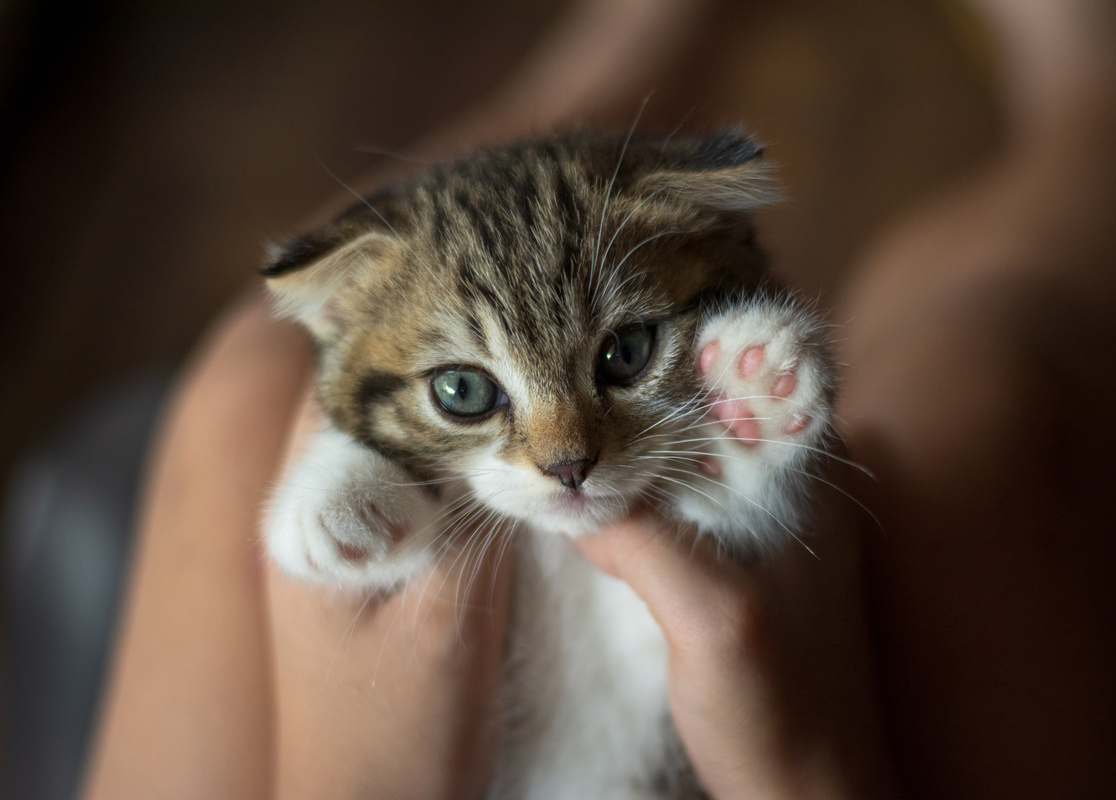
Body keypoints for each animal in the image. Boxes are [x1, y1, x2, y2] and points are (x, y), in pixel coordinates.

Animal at [265, 132, 834, 798]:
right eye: (462, 390)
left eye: (627, 352)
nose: (569, 467)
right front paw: (336, 498)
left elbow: (739, 514)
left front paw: (757, 394)